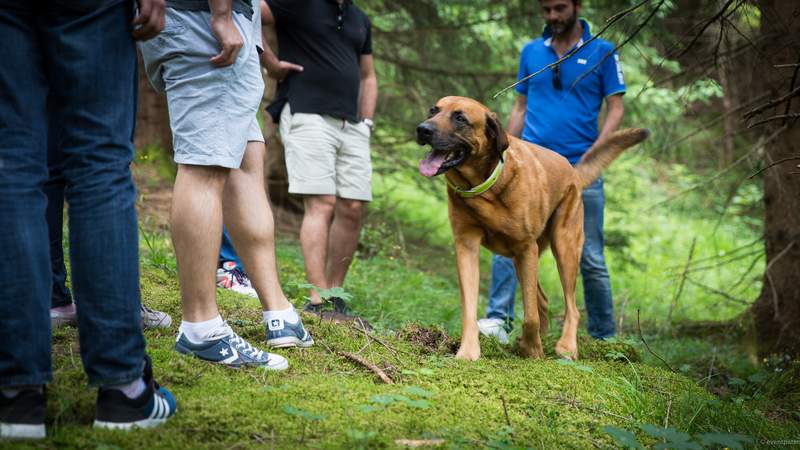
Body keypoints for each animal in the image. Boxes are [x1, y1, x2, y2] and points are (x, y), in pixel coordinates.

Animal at [416, 96, 648, 360]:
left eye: (460, 118)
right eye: (433, 111)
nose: (422, 129)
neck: (486, 186)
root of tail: (573, 171)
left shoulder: (526, 248)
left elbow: (530, 317)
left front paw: (531, 350)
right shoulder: (467, 246)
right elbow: (470, 308)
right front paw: (468, 351)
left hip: (563, 247)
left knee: (571, 306)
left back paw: (566, 346)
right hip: (523, 257)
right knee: (543, 300)